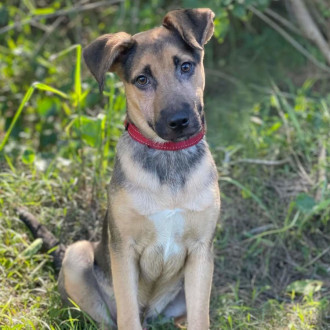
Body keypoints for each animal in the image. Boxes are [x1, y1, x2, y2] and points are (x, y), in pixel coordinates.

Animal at [19, 6, 220, 328]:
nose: (179, 121)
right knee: (108, 320)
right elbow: (127, 314)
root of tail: (152, 314)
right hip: (77, 256)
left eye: (186, 67)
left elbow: (201, 317)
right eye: (142, 80)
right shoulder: (123, 250)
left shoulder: (202, 252)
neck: (168, 156)